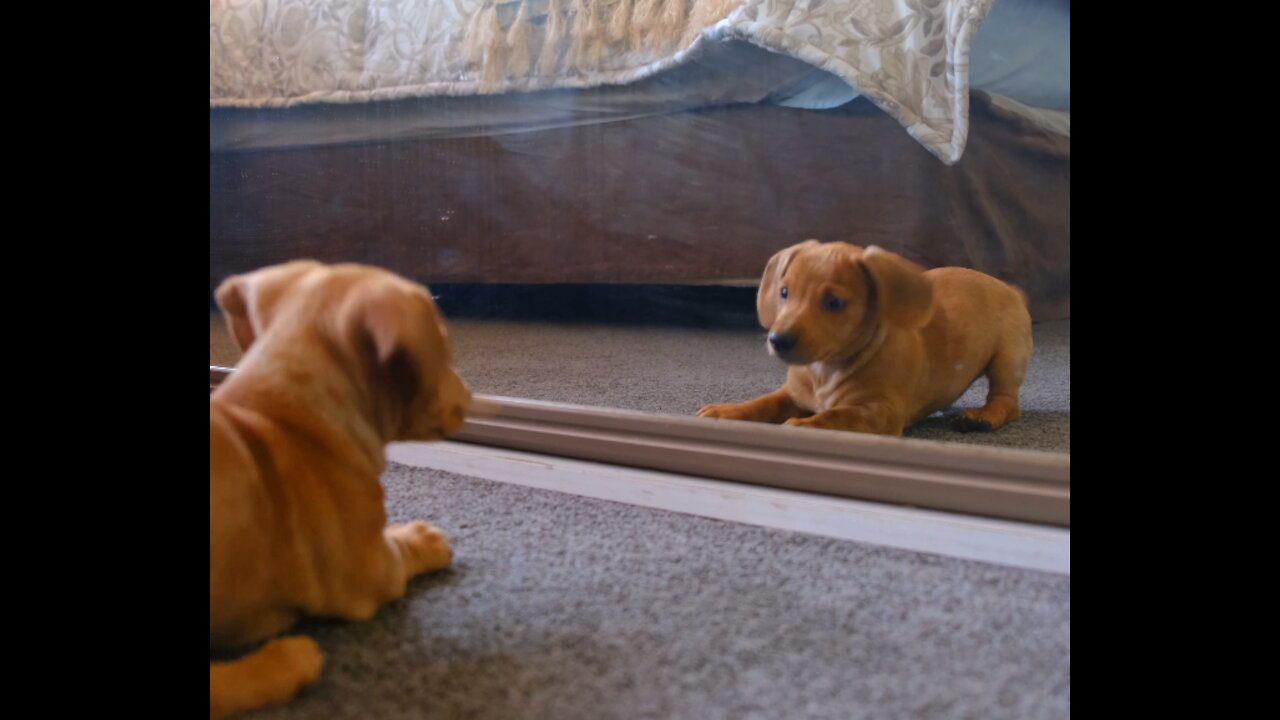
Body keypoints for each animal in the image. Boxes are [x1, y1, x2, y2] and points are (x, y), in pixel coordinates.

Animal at [207, 260, 473, 712]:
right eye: (444, 347)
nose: (471, 396)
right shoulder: (370, 569)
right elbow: (401, 551)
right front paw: (423, 538)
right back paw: (284, 663)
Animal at [696, 238, 1034, 435]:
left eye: (834, 302)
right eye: (784, 292)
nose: (778, 340)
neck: (824, 370)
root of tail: (1010, 289)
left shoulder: (878, 411)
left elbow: (834, 417)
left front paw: (802, 425)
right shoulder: (792, 394)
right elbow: (763, 403)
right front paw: (727, 411)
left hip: (1007, 359)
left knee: (1006, 401)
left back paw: (981, 417)